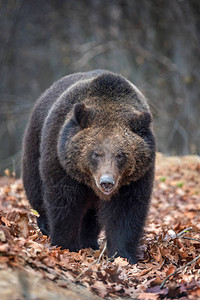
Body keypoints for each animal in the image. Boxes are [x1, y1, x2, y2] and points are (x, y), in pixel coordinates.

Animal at [22, 70, 156, 262]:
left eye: (121, 154)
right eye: (96, 153)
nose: (106, 182)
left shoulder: (135, 179)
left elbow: (126, 212)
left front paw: (123, 255)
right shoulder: (62, 164)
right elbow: (64, 203)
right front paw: (66, 245)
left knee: (91, 217)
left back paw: (89, 242)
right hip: (35, 143)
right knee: (35, 188)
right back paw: (45, 225)